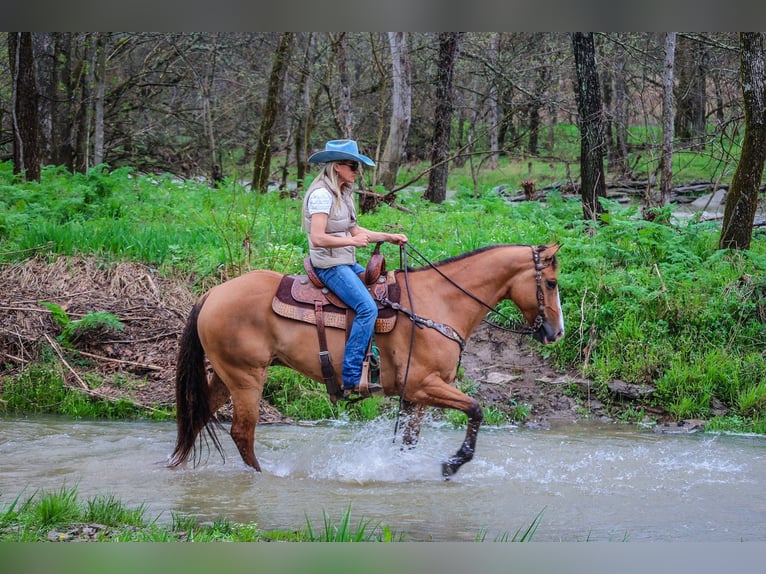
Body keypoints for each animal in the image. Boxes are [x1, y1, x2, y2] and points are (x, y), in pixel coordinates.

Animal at [170, 244, 564, 482]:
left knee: (198, 416)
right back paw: (262, 476)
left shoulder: (416, 397)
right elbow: (476, 409)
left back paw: (179, 465)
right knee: (242, 432)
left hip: (227, 377)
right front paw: (453, 463)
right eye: (551, 282)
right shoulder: (425, 384)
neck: (439, 302)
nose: (556, 332)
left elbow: (408, 441)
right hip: (246, 378)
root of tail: (212, 293)